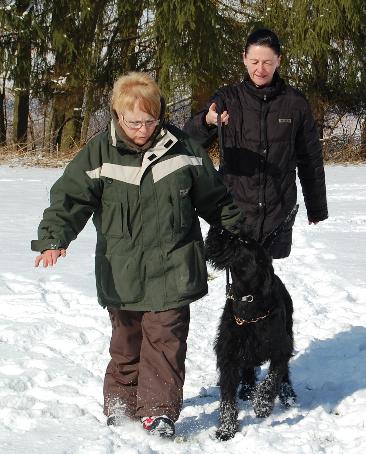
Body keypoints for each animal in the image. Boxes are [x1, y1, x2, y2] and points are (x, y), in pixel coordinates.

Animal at [204, 227, 296, 440]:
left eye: (243, 242)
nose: (216, 228)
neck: (248, 301)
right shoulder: (228, 355)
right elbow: (227, 399)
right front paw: (226, 430)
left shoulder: (280, 349)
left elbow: (272, 379)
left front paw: (263, 405)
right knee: (248, 368)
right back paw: (246, 389)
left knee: (284, 374)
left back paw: (288, 396)